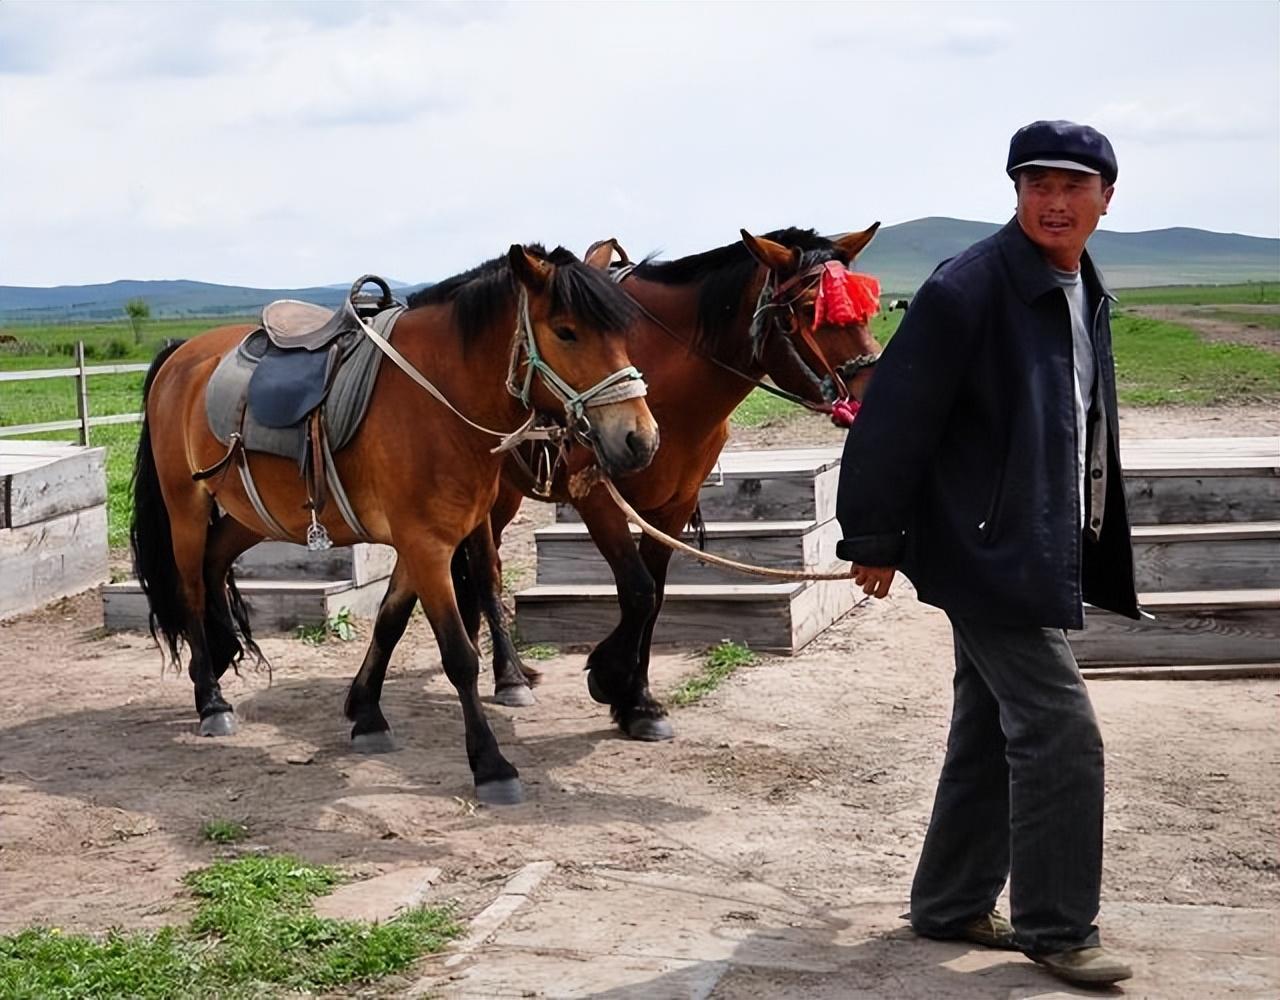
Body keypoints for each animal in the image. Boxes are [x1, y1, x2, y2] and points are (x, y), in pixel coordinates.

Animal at [132, 243, 660, 804]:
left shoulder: (424, 543)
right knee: (190, 588)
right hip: (185, 507)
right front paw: (491, 764)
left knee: (214, 562)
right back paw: (211, 700)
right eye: (566, 331)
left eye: (622, 334)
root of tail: (181, 354)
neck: (438, 398)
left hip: (252, 514)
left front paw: (367, 714)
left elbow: (389, 621)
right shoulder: (427, 545)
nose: (640, 439)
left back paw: (220, 654)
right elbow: (459, 656)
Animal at [340, 224, 880, 742]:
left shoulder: (674, 507)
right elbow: (637, 590)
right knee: (486, 572)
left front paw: (638, 700)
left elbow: (655, 596)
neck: (667, 372)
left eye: (866, 308)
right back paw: (508, 676)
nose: (869, 393)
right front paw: (612, 679)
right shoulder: (599, 497)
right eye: (809, 309)